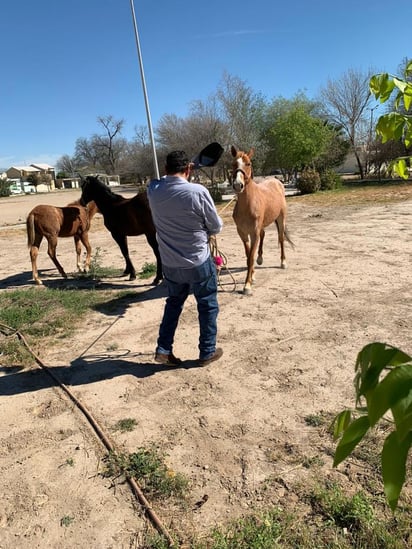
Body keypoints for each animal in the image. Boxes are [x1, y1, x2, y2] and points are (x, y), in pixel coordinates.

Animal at [232, 143, 292, 294]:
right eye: (233, 164)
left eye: (248, 163)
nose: (238, 185)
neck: (248, 205)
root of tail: (277, 181)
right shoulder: (243, 234)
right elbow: (248, 256)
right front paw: (252, 276)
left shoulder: (254, 233)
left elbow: (250, 257)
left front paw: (247, 285)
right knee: (263, 235)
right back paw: (260, 258)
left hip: (281, 219)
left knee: (281, 238)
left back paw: (283, 262)